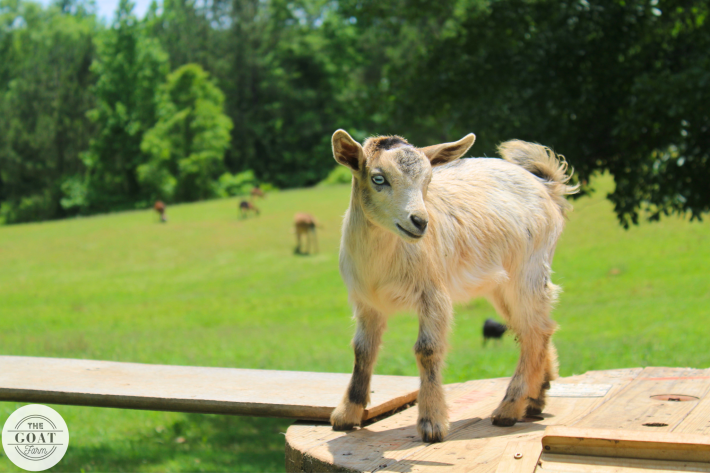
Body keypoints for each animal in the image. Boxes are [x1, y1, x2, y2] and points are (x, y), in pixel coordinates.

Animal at [329, 130, 577, 443]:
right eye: (378, 178)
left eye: (428, 181)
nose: (420, 221)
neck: (381, 262)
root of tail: (547, 186)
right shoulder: (366, 303)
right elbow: (363, 351)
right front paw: (347, 415)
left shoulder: (434, 294)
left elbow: (427, 349)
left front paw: (432, 423)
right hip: (501, 286)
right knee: (536, 329)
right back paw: (535, 399)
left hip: (529, 271)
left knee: (535, 331)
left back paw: (509, 408)